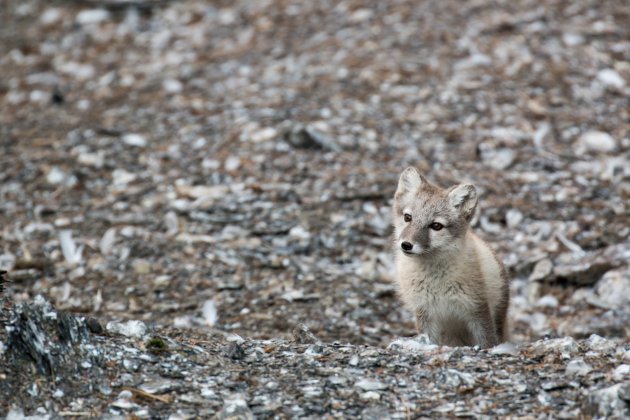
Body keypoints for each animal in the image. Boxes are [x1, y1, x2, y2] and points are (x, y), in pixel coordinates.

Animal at [396, 167, 512, 348]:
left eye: (436, 226)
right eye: (408, 217)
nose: (406, 245)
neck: (435, 281)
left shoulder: (477, 310)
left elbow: (487, 342)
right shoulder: (425, 314)